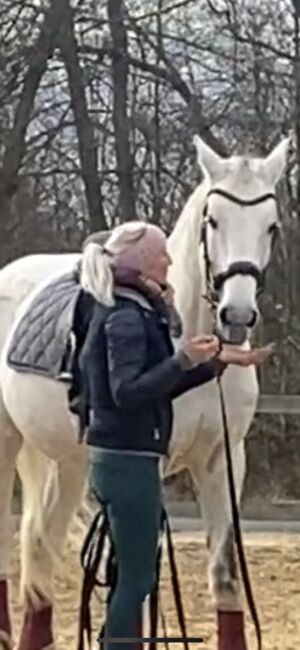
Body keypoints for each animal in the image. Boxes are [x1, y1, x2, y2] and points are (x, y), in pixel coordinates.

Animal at [0, 134, 288, 644]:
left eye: (270, 226)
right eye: (213, 221)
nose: (235, 317)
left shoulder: (224, 460)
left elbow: (224, 574)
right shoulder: (148, 465)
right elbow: (137, 582)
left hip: (70, 464)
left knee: (40, 543)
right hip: (7, 441)